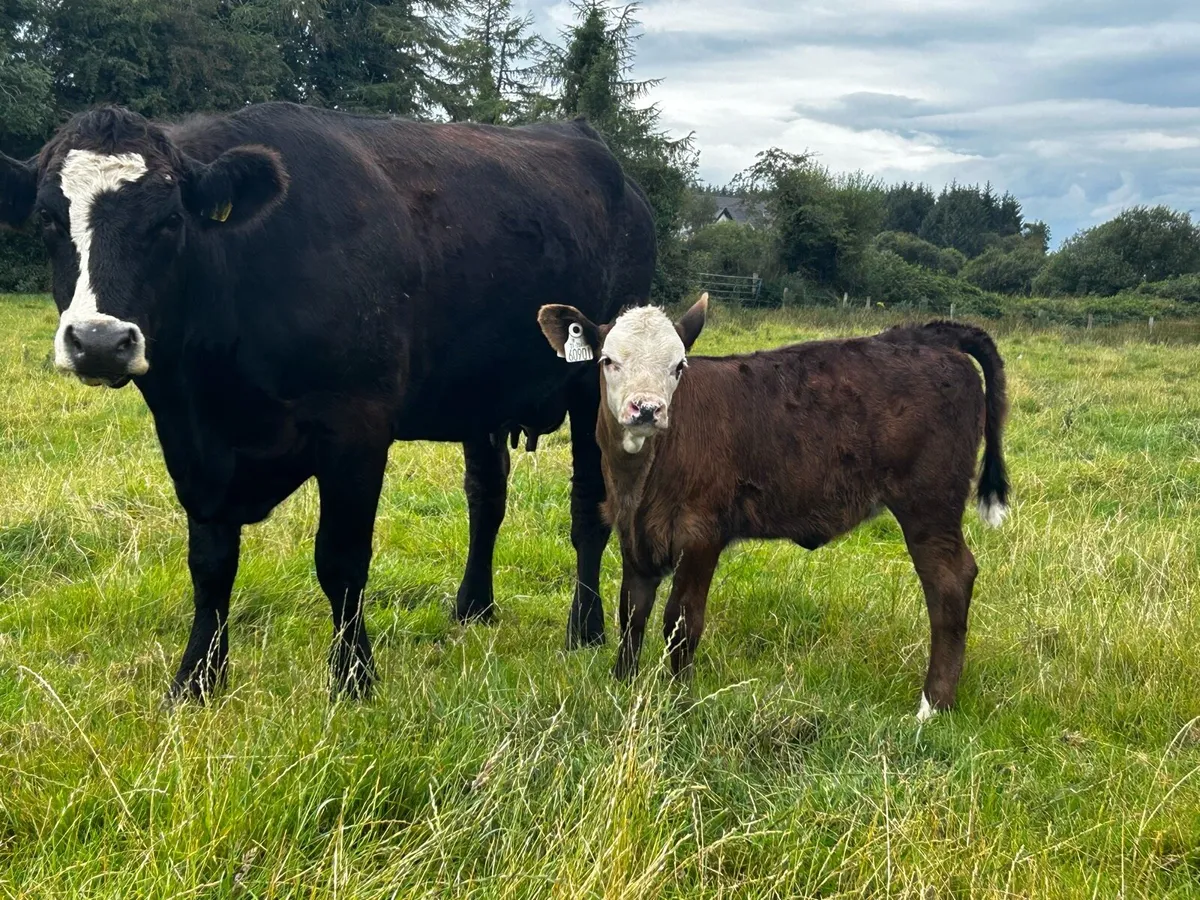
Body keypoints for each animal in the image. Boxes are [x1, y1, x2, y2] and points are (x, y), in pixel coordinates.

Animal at [0, 102, 655, 700]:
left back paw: (585, 628)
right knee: (486, 498)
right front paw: (197, 681)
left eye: (168, 221)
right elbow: (210, 564)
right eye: (47, 219)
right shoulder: (191, 441)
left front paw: (353, 679)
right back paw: (473, 606)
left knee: (589, 509)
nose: (99, 341)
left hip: (592, 386)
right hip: (480, 393)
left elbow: (340, 559)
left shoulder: (356, 428)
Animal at [537, 295, 1009, 719]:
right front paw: (622, 685)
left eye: (678, 367)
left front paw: (679, 699)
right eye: (608, 361)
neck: (642, 474)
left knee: (950, 582)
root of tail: (927, 337)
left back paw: (933, 705)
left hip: (929, 503)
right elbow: (632, 613)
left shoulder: (702, 533)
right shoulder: (633, 530)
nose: (647, 409)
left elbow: (682, 621)